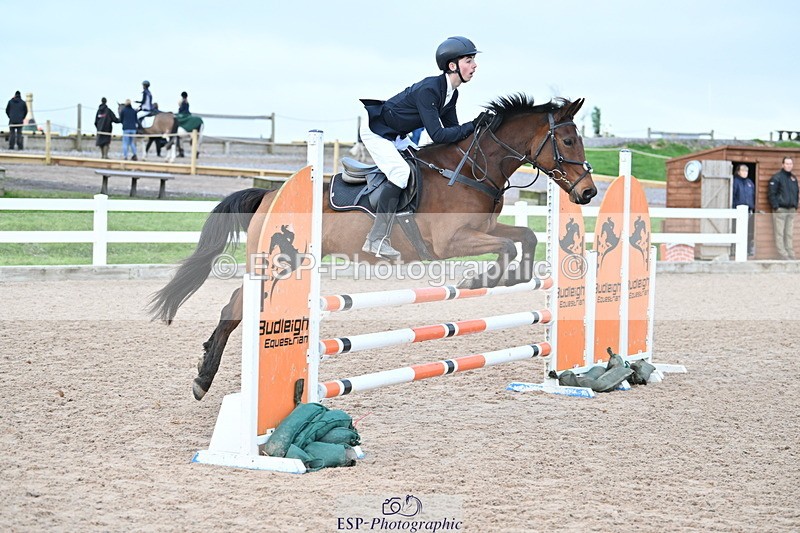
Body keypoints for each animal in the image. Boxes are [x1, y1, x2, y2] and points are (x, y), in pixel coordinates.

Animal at [149, 94, 597, 400]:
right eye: (568, 142)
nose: (589, 193)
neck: (471, 169)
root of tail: (269, 194)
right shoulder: (450, 241)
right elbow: (506, 247)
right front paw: (481, 279)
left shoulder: (483, 229)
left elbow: (526, 237)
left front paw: (502, 278)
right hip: (282, 263)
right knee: (236, 306)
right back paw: (203, 380)